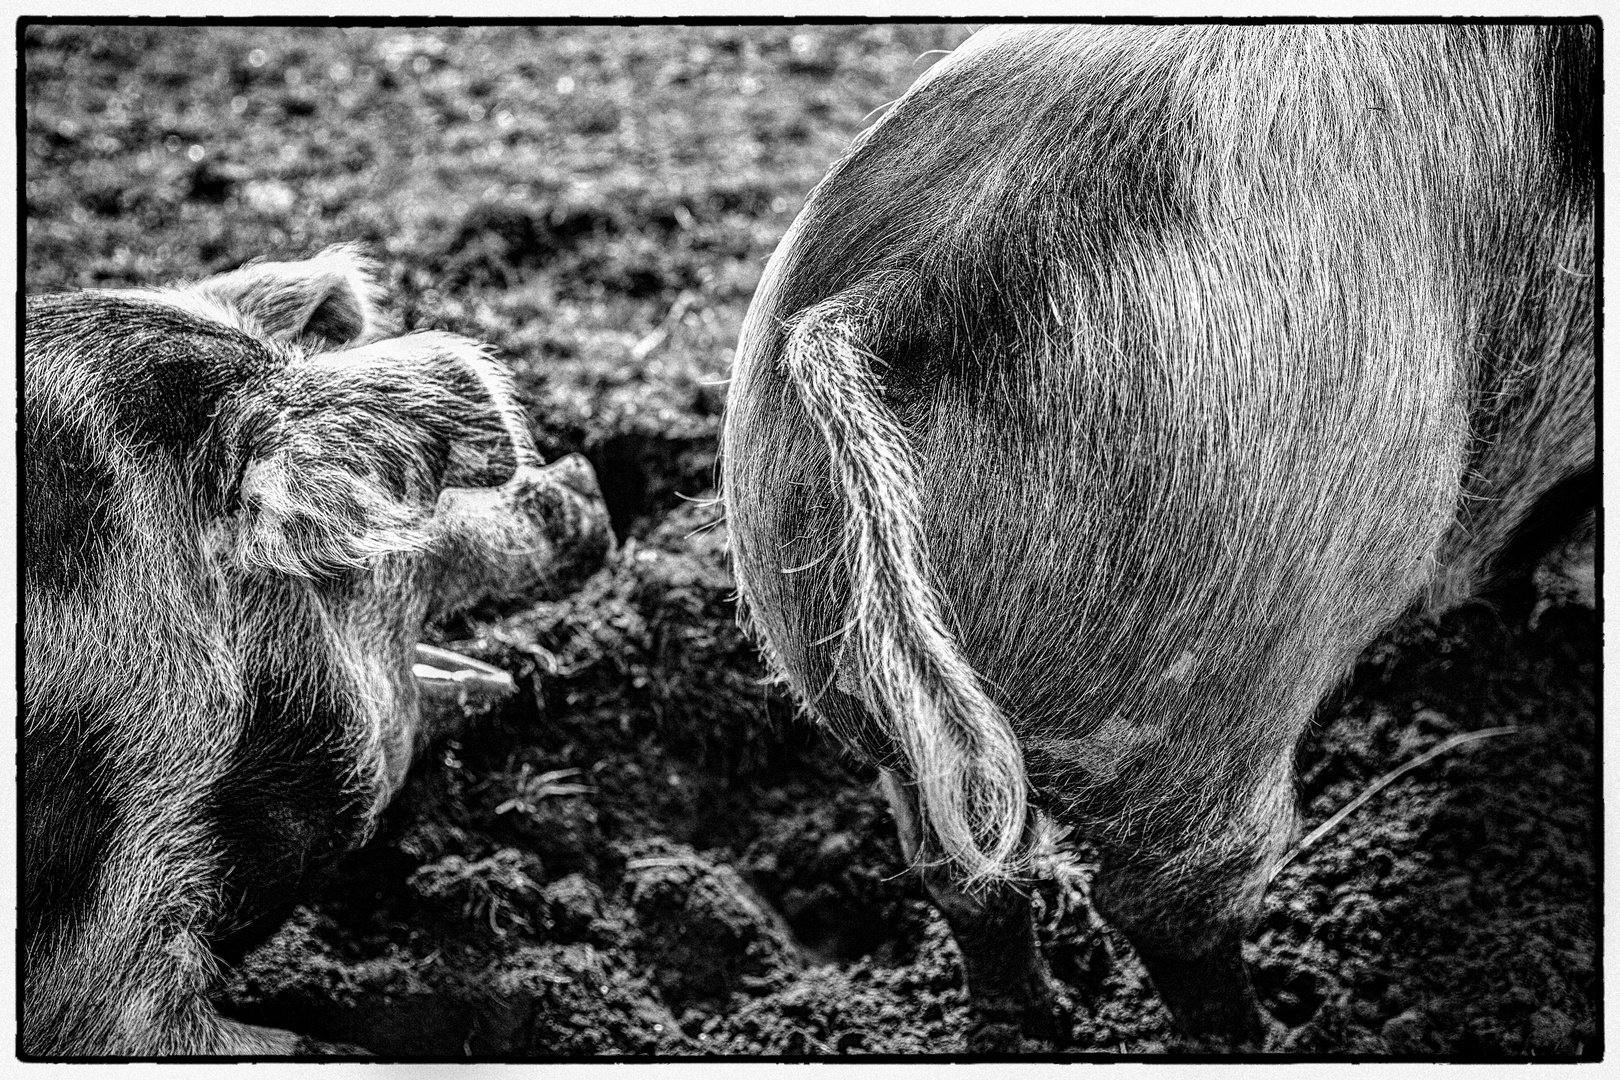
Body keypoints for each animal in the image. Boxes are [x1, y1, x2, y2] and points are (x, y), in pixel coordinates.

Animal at [722, 25, 1594, 1049]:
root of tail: (881, 301)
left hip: (870, 684)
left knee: (966, 876)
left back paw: (1034, 1025)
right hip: (1220, 675)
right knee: (1174, 906)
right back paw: (1272, 1035)